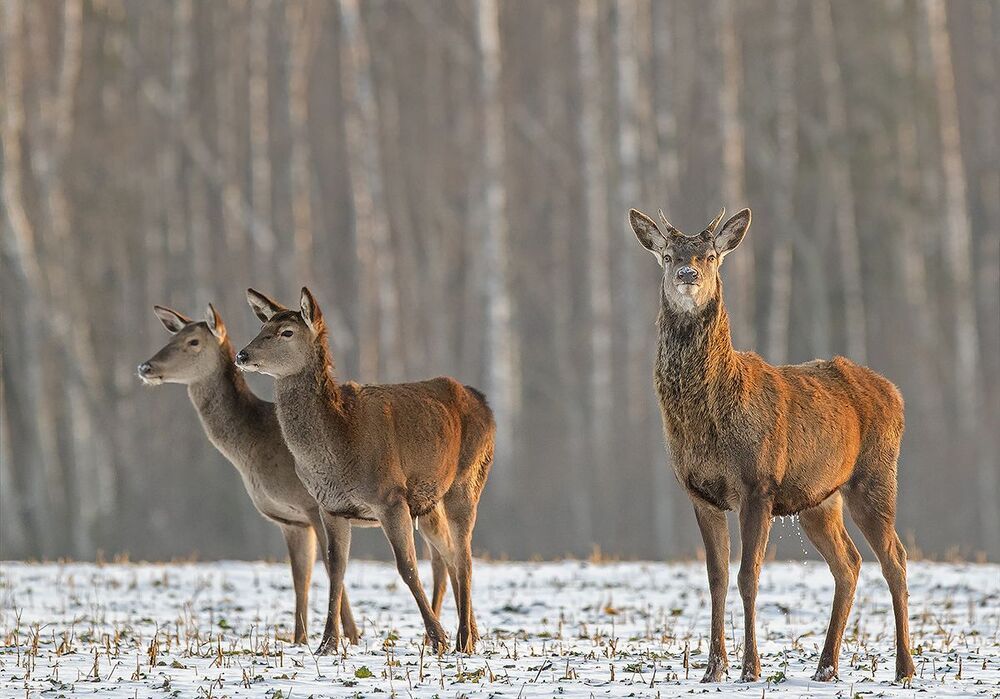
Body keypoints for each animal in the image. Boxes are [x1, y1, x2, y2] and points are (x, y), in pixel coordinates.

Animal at [137, 302, 438, 653]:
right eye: (172, 337)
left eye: (193, 341)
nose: (145, 366)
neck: (252, 450)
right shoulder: (291, 519)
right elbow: (300, 576)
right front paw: (301, 638)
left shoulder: (312, 505)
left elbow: (328, 566)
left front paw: (348, 635)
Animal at [236, 287, 495, 654]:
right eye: (263, 327)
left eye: (287, 332)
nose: (242, 354)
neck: (340, 446)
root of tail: (485, 403)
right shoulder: (330, 506)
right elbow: (336, 569)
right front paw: (328, 643)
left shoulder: (390, 496)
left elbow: (407, 567)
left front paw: (437, 637)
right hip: (430, 501)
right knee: (451, 555)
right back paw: (471, 633)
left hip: (467, 479)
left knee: (465, 557)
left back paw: (461, 638)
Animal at [629, 206, 915, 684]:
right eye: (668, 256)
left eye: (710, 256)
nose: (688, 275)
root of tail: (895, 393)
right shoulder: (700, 493)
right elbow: (716, 578)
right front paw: (713, 669)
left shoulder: (758, 484)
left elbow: (749, 576)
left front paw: (751, 668)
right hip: (820, 500)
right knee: (849, 563)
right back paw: (826, 667)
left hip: (874, 477)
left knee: (895, 559)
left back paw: (904, 667)